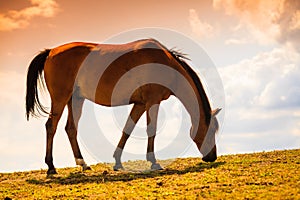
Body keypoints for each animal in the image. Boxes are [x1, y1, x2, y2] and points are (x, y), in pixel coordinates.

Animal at [25, 38, 220, 174]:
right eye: (211, 130)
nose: (212, 157)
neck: (164, 63)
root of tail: (51, 51)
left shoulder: (140, 104)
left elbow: (127, 129)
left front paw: (117, 162)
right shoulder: (152, 101)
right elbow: (151, 130)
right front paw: (154, 162)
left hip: (76, 100)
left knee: (70, 129)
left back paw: (83, 164)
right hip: (60, 99)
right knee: (51, 126)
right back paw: (51, 167)